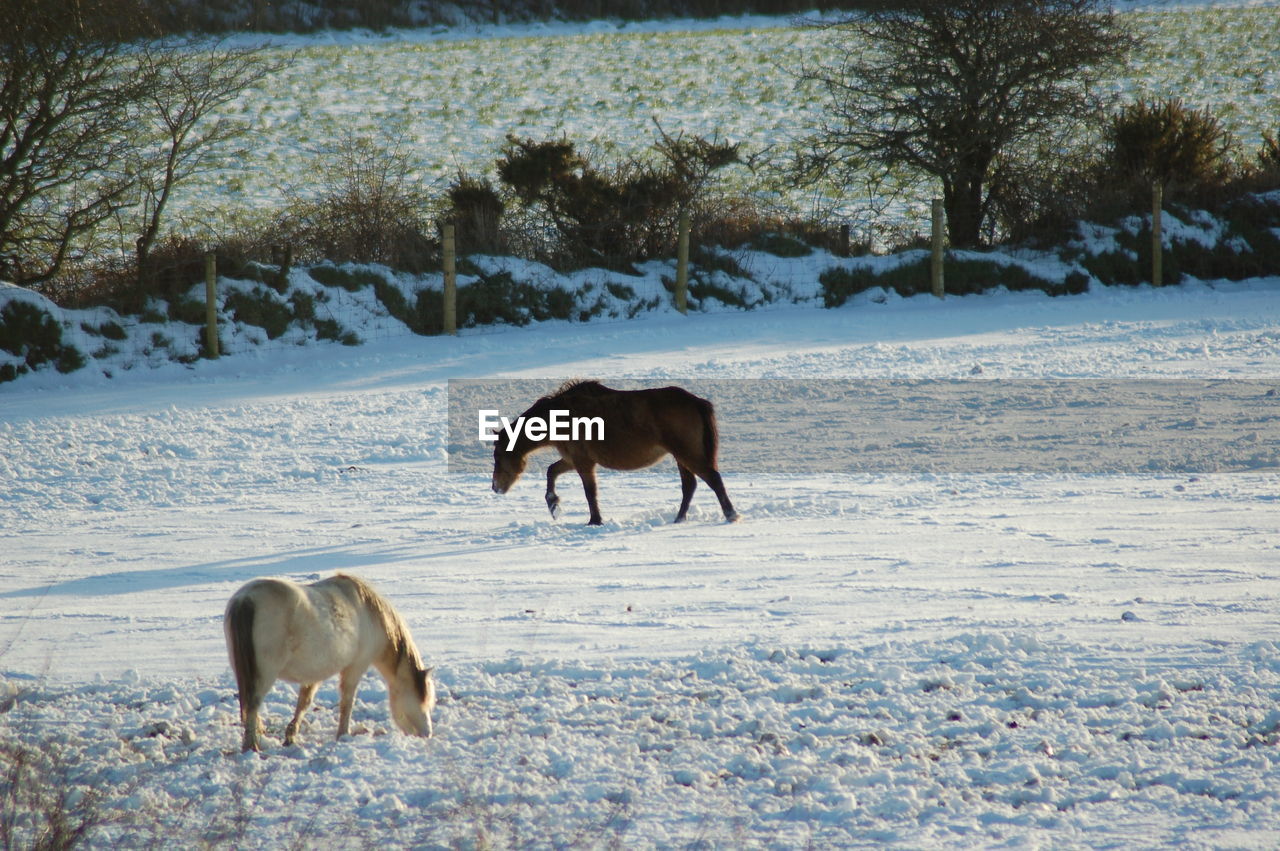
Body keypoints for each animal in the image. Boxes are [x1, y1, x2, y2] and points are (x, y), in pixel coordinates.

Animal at [222, 570, 437, 752]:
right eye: (422, 699)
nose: (427, 734)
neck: (370, 614)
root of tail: (245, 599)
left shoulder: (312, 675)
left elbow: (304, 702)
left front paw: (291, 735)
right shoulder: (355, 667)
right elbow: (347, 701)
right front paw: (343, 734)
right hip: (265, 674)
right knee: (253, 704)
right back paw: (251, 746)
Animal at [494, 378, 747, 524]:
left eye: (498, 455)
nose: (495, 487)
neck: (560, 414)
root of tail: (696, 401)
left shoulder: (583, 462)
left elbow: (590, 492)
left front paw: (594, 520)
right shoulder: (574, 458)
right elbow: (551, 472)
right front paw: (553, 505)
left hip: (687, 453)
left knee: (712, 478)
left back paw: (731, 515)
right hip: (681, 455)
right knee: (690, 485)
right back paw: (679, 519)